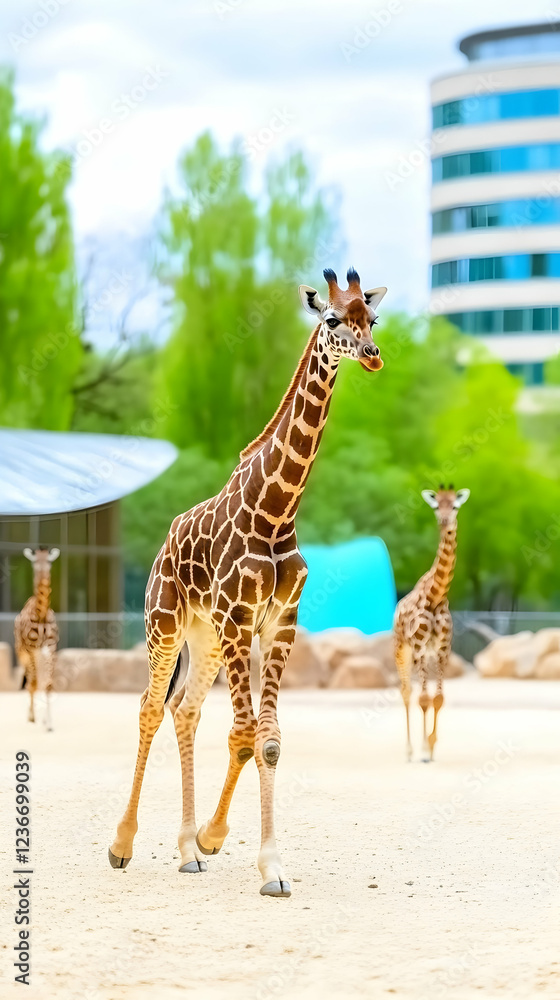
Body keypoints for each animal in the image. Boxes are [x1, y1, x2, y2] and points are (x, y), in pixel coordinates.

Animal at [108, 267, 387, 897]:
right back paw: (122, 845)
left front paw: (246, 854)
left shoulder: (279, 621)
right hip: (165, 625)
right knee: (149, 707)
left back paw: (188, 850)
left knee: (184, 709)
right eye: (332, 319)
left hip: (205, 638)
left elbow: (270, 739)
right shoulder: (239, 618)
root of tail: (162, 547)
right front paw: (248, 854)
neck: (277, 509)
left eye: (372, 318)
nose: (373, 355)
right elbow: (243, 733)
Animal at [393, 485, 470, 762]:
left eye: (455, 506)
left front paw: (432, 746)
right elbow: (423, 698)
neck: (436, 596)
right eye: (437, 506)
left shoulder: (443, 648)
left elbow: (438, 699)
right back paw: (408, 750)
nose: (445, 522)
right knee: (406, 692)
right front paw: (424, 750)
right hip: (401, 649)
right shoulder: (417, 646)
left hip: (425, 653)